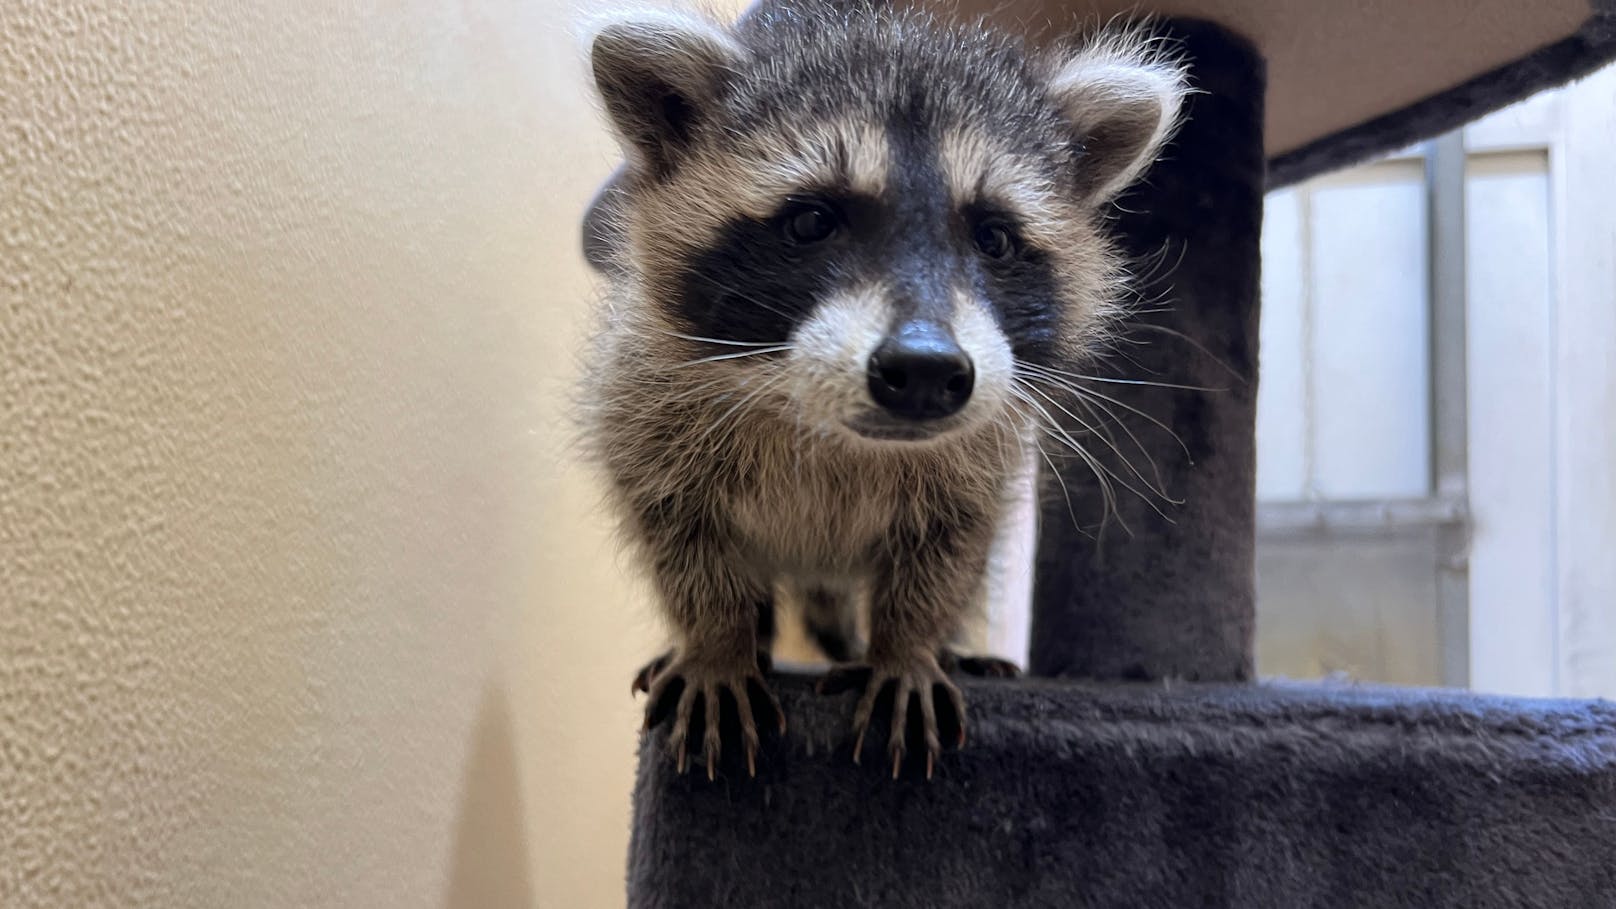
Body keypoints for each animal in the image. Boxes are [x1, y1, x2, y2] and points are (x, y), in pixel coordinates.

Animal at [581, 0, 1189, 779]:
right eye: (812, 220)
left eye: (993, 237)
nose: (926, 370)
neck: (823, 422)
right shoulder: (644, 401)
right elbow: (681, 534)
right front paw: (717, 640)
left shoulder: (982, 453)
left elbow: (950, 545)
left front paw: (906, 646)